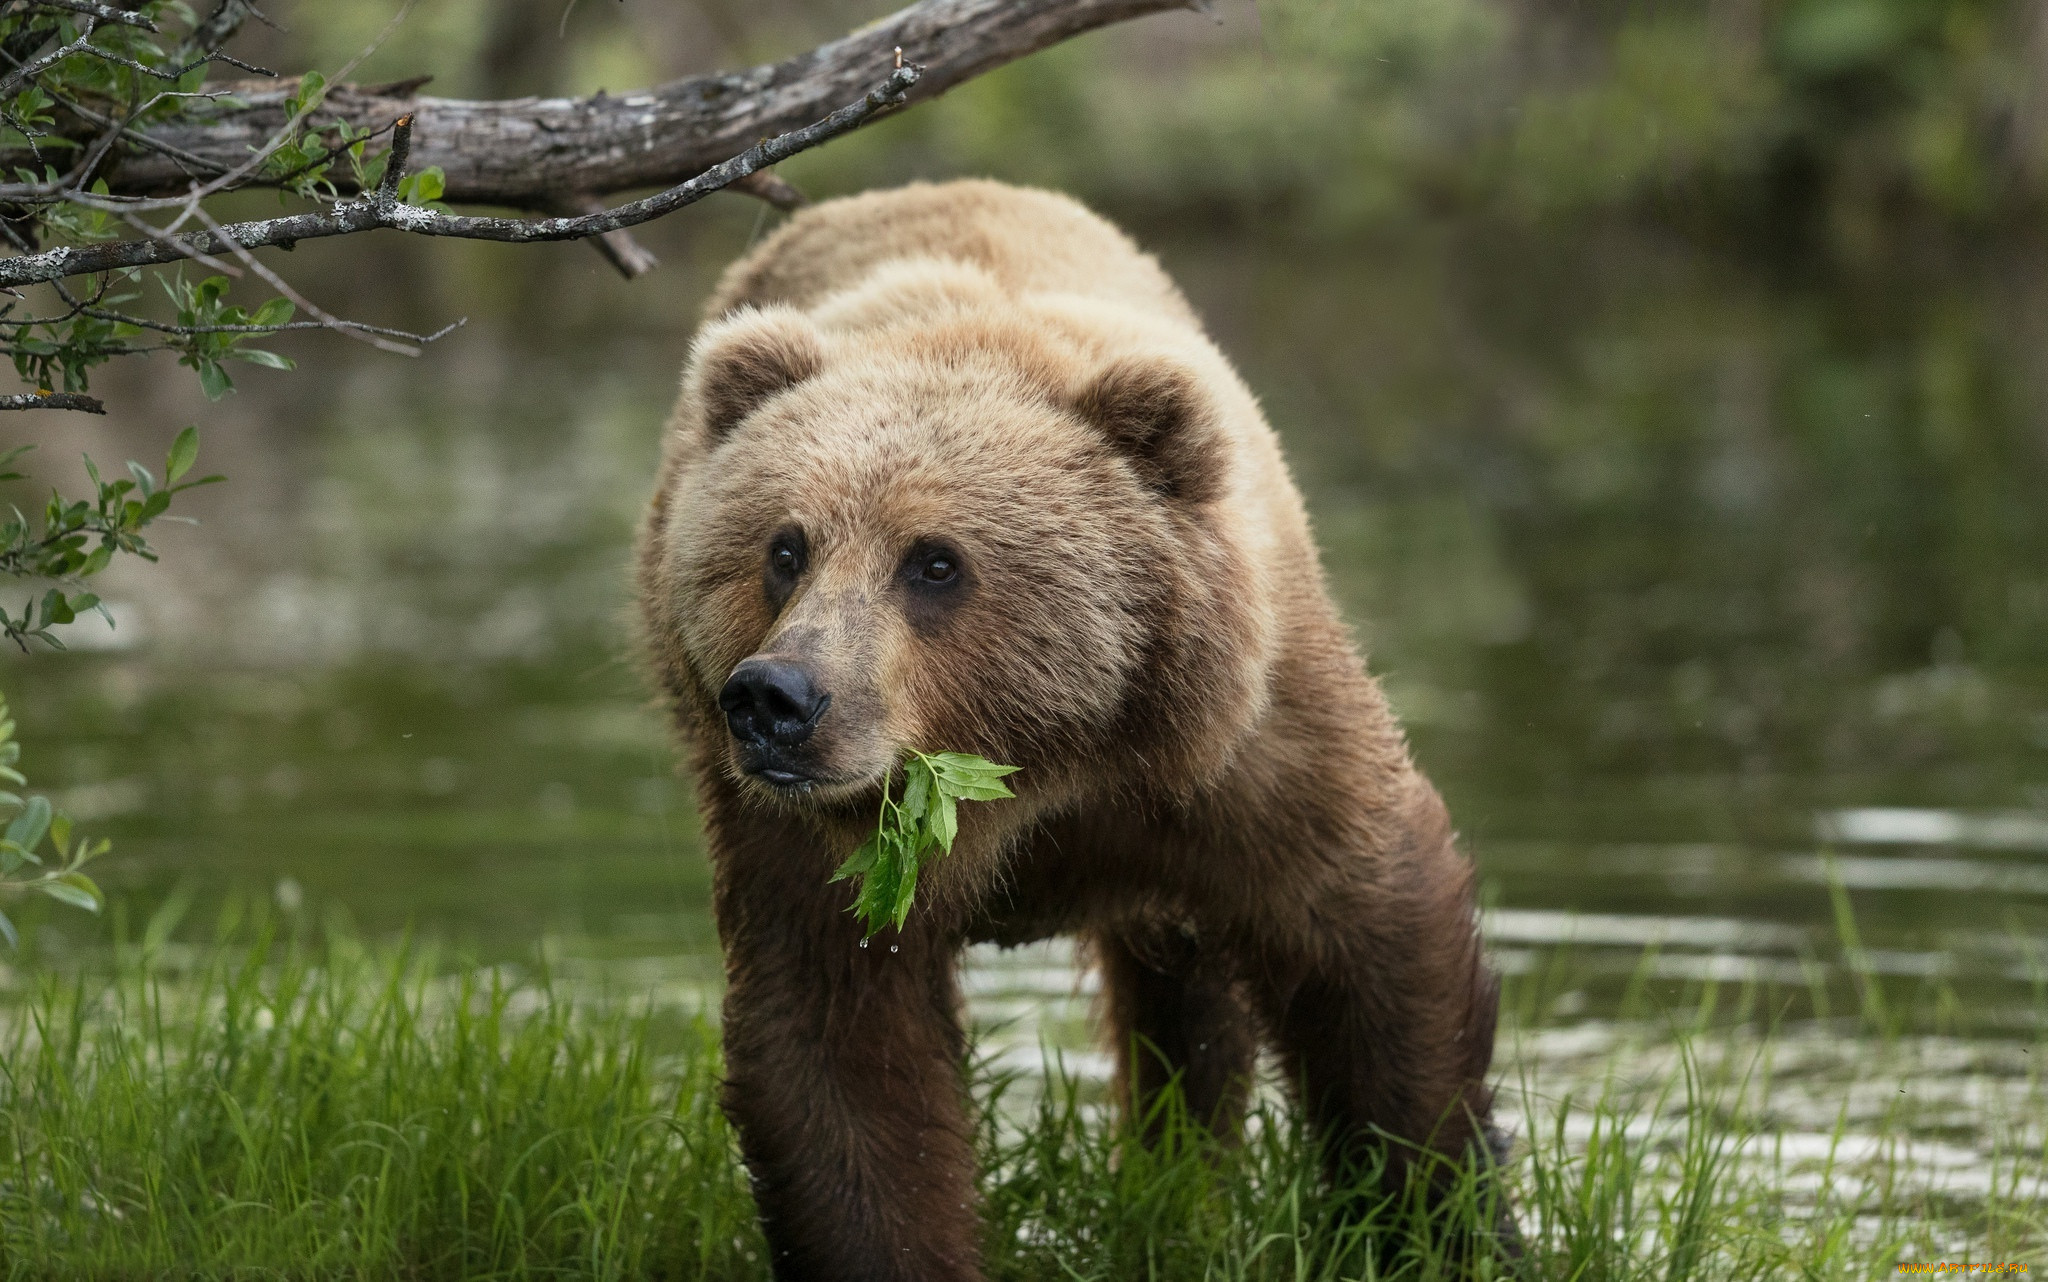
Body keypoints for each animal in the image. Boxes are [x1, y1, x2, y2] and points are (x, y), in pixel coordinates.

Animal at [634, 177, 1507, 1269]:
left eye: (935, 561)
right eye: (783, 547)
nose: (777, 698)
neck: (1040, 767)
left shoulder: (1243, 751)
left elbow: (1375, 950)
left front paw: (1442, 1220)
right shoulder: (810, 846)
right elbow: (838, 1055)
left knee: (1189, 1000)